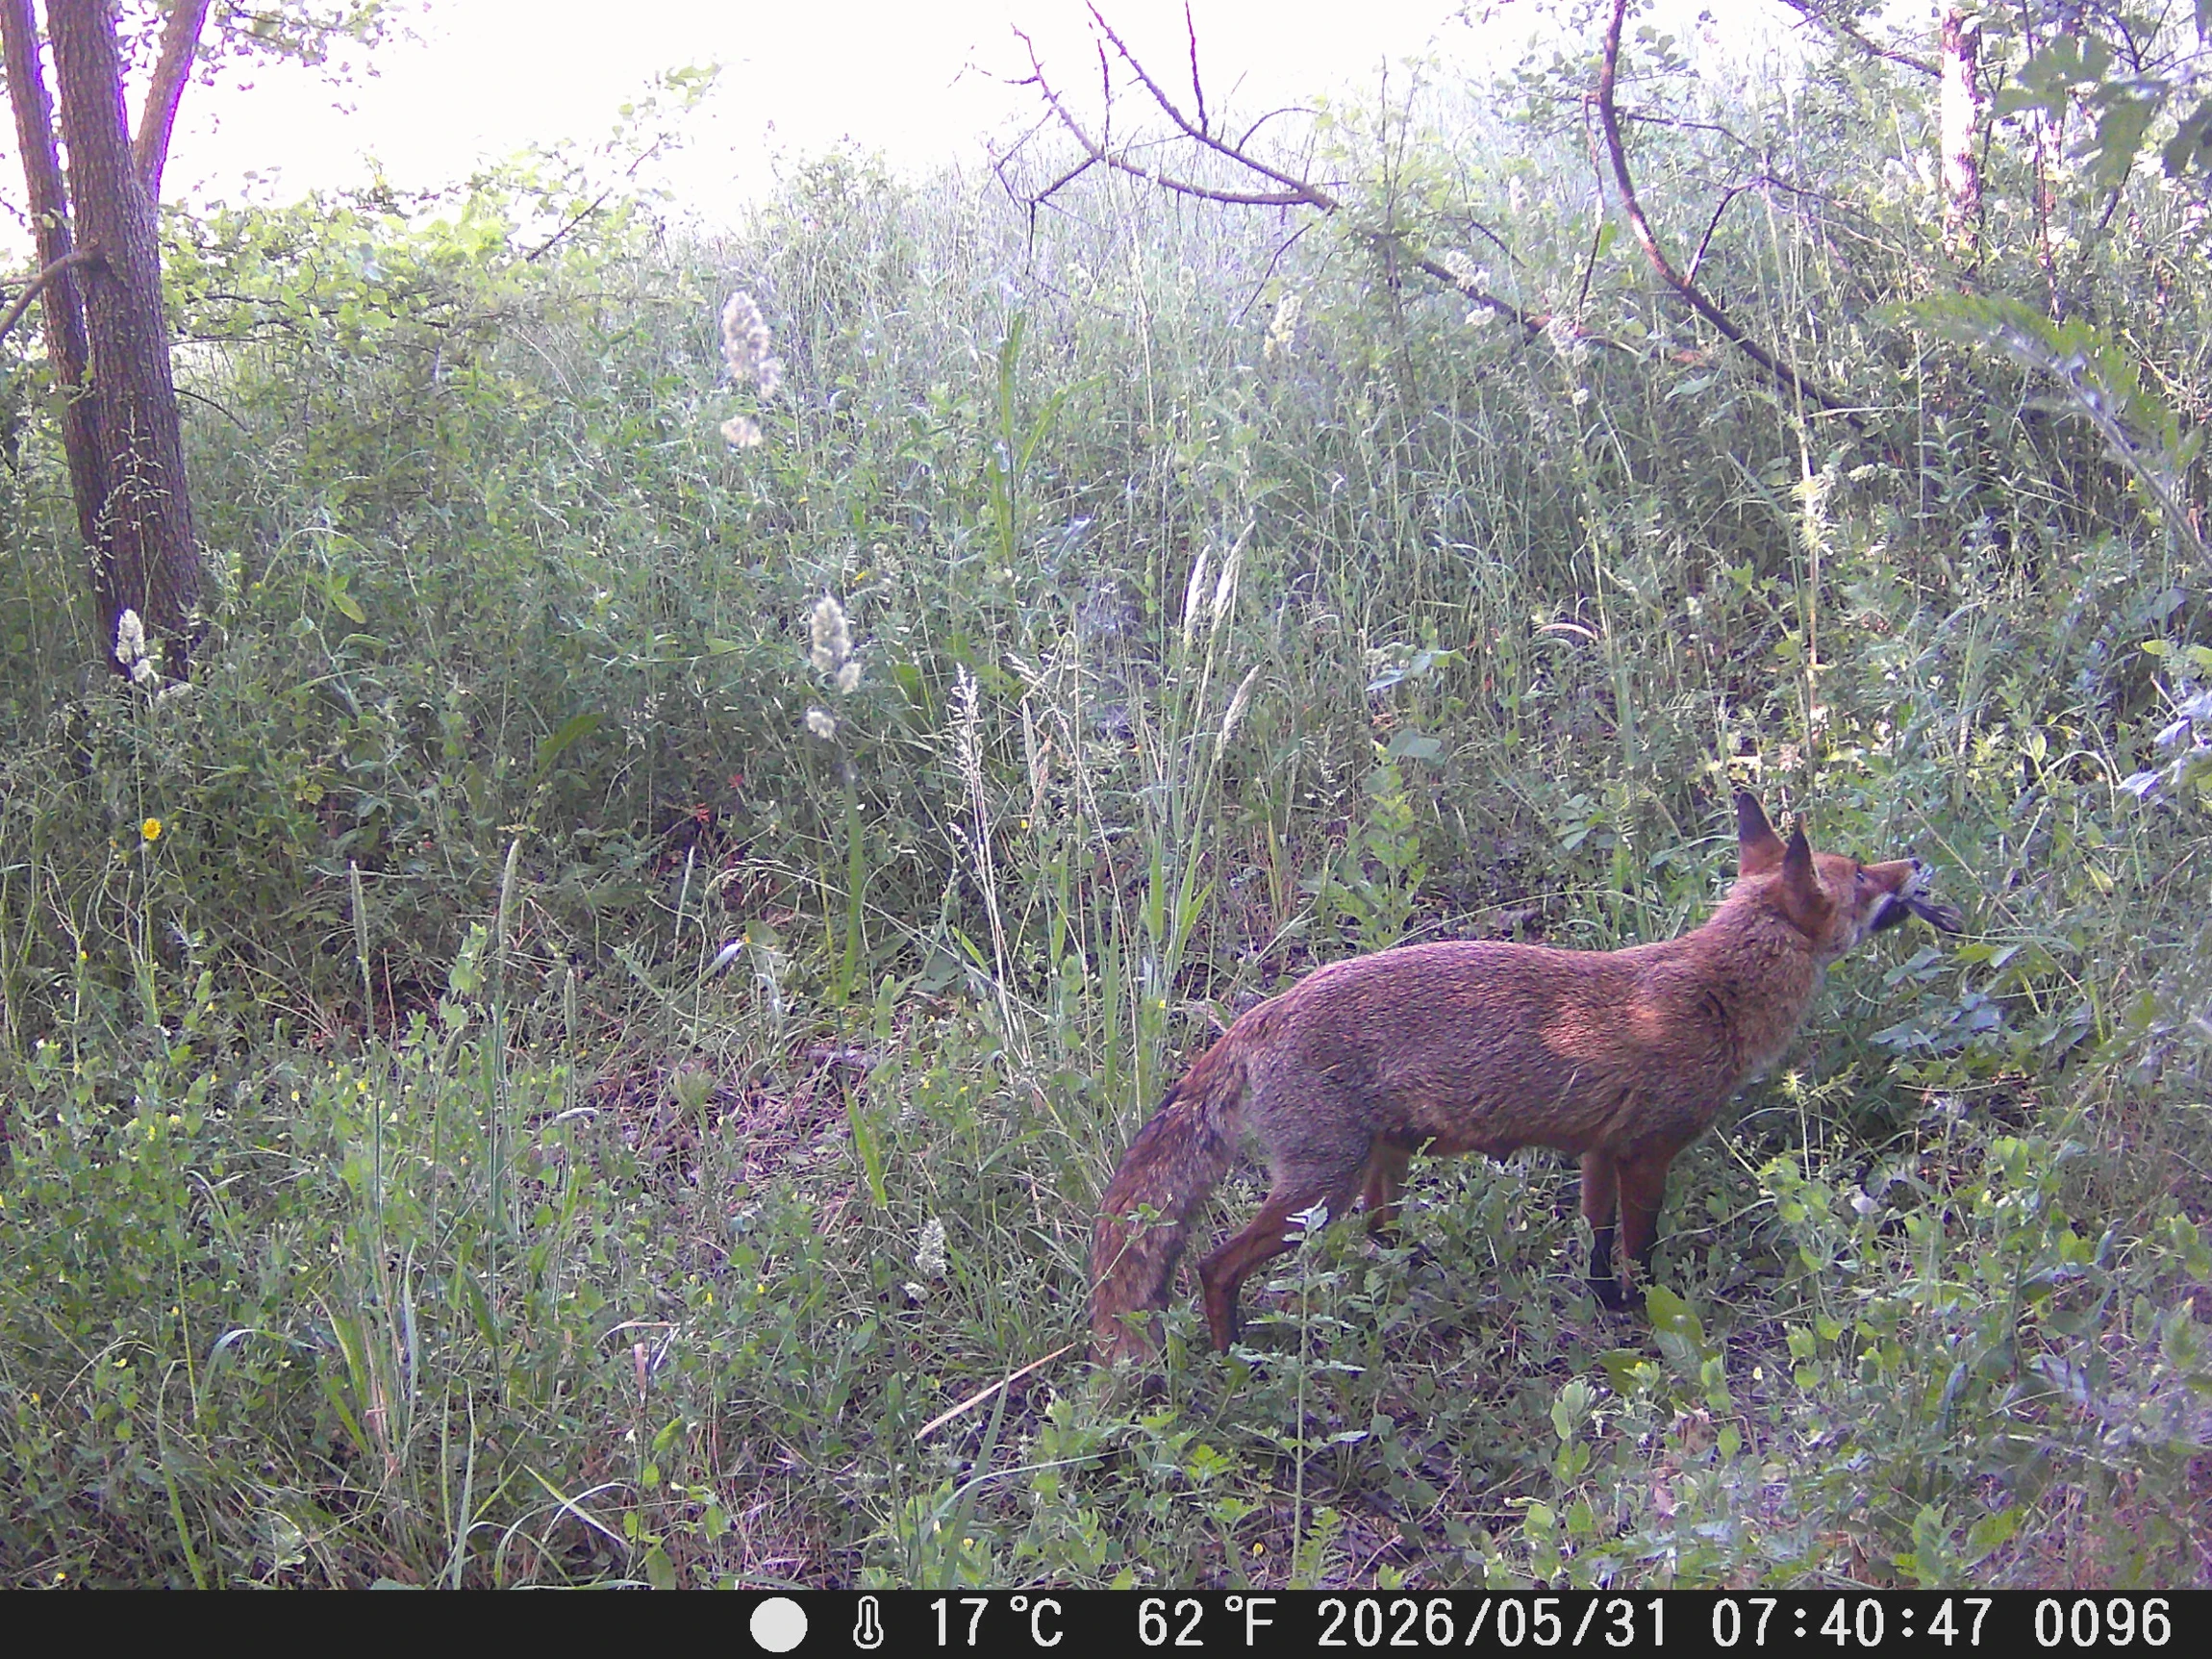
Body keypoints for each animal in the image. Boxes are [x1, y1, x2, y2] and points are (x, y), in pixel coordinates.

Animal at [1090, 791, 1962, 1364]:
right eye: (1860, 879)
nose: (1920, 859)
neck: (1713, 990)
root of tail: (1261, 1014)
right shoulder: (1648, 1151)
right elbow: (1643, 1250)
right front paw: (1647, 1317)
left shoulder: (1598, 1150)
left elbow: (1598, 1243)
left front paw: (1605, 1308)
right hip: (1319, 1188)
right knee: (1213, 1264)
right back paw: (1231, 1355)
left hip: (1379, 1164)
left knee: (1379, 1235)